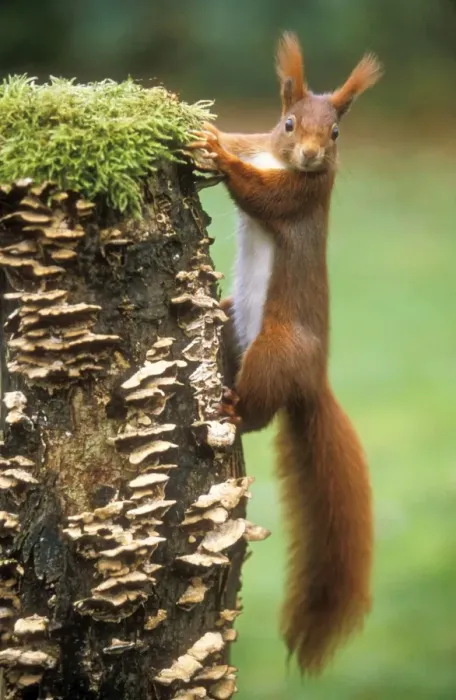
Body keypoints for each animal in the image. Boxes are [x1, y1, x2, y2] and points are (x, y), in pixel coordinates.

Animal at [188, 32, 382, 675]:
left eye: (337, 133)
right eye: (289, 122)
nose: (312, 157)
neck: (279, 160)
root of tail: (313, 380)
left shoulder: (303, 196)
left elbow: (263, 197)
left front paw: (220, 160)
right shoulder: (263, 144)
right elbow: (242, 147)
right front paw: (208, 131)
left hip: (275, 351)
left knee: (259, 413)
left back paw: (232, 409)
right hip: (234, 326)